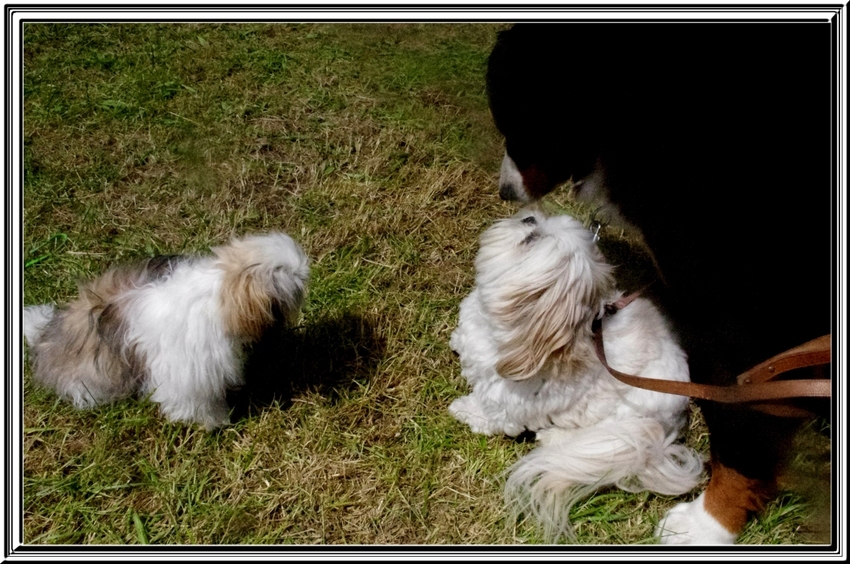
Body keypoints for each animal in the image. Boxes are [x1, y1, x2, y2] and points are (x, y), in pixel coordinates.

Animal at [22, 231, 308, 430]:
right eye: (290, 276)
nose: (306, 272)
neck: (219, 290)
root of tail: (45, 337)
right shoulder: (190, 371)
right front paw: (216, 421)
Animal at [450, 210, 704, 540]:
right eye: (535, 222)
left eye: (532, 239)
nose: (529, 217)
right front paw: (457, 341)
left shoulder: (508, 403)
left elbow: (488, 413)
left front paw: (464, 410)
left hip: (619, 422)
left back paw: (553, 436)